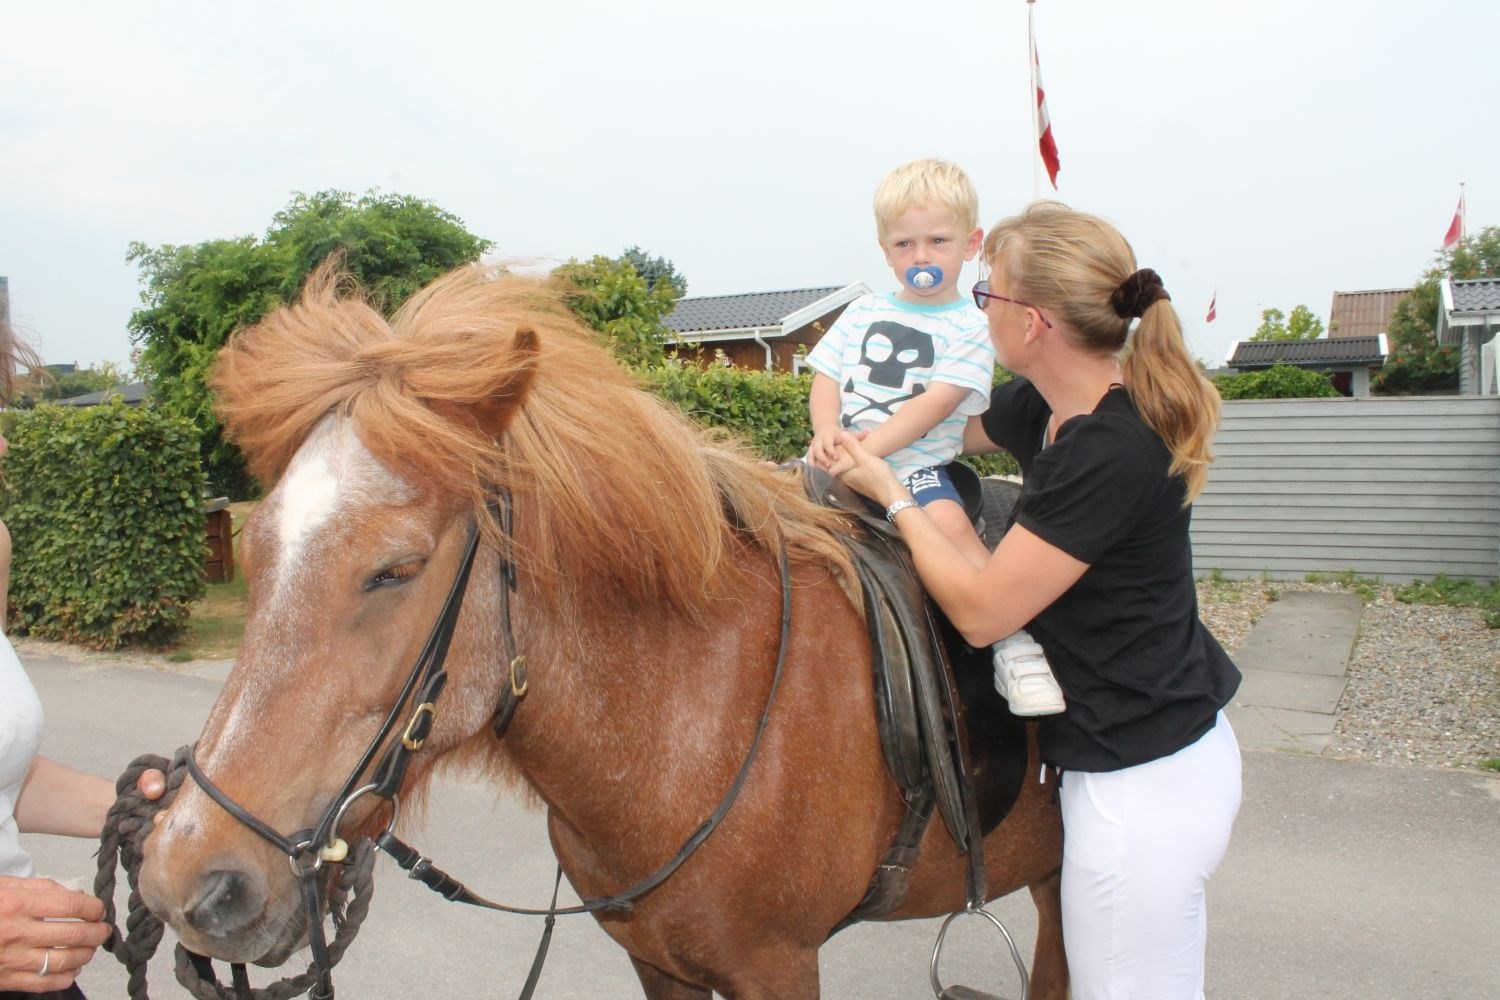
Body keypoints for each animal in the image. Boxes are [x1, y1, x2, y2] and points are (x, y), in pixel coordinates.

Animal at [136, 263, 1067, 999]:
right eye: (255, 553)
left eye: (393, 569)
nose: (188, 882)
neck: (694, 710)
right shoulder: (660, 963)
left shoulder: (775, 966)